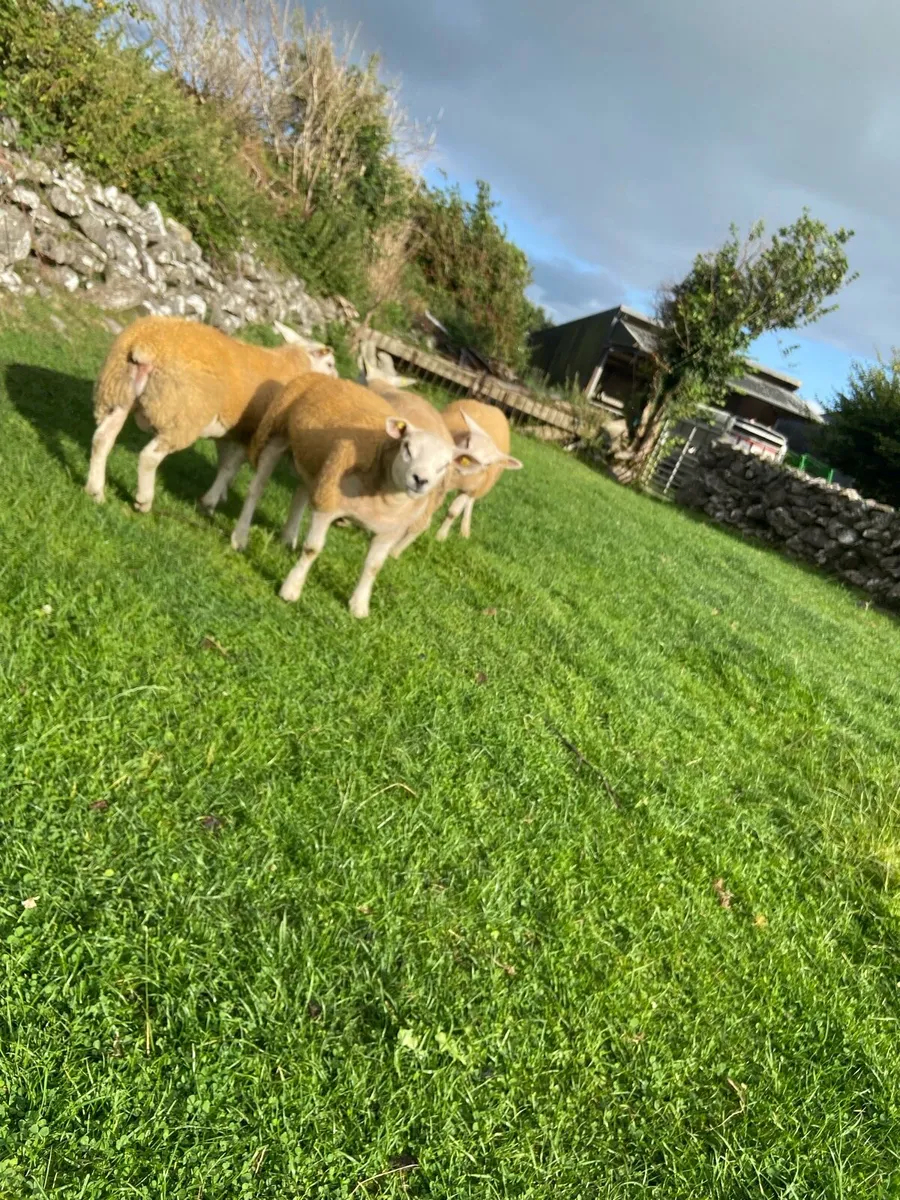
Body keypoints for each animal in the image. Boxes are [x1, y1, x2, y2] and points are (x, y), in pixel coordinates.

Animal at [84, 316, 336, 513]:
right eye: (331, 364)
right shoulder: (252, 433)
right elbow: (230, 467)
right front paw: (210, 501)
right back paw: (143, 501)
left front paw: (221, 494)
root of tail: (146, 345)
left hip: (117, 395)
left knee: (102, 439)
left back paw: (95, 492)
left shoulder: (231, 430)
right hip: (182, 416)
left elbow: (224, 463)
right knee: (149, 457)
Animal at [234, 374, 484, 618]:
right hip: (276, 432)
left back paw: (288, 538)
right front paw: (291, 589)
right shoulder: (329, 502)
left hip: (319, 462)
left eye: (445, 465)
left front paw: (359, 606)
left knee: (301, 493)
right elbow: (313, 548)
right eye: (407, 448)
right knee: (257, 489)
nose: (420, 480)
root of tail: (332, 378)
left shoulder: (389, 531)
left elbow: (373, 566)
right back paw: (240, 537)